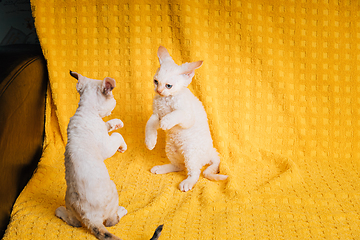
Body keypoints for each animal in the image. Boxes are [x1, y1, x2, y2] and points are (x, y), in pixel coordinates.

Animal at [145, 46, 226, 191]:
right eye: (156, 81)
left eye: (168, 86)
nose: (159, 91)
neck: (165, 100)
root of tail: (211, 152)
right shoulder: (156, 115)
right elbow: (149, 125)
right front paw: (150, 141)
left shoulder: (187, 116)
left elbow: (177, 114)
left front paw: (166, 121)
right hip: (171, 149)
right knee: (179, 166)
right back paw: (161, 168)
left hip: (190, 153)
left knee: (195, 172)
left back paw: (187, 182)